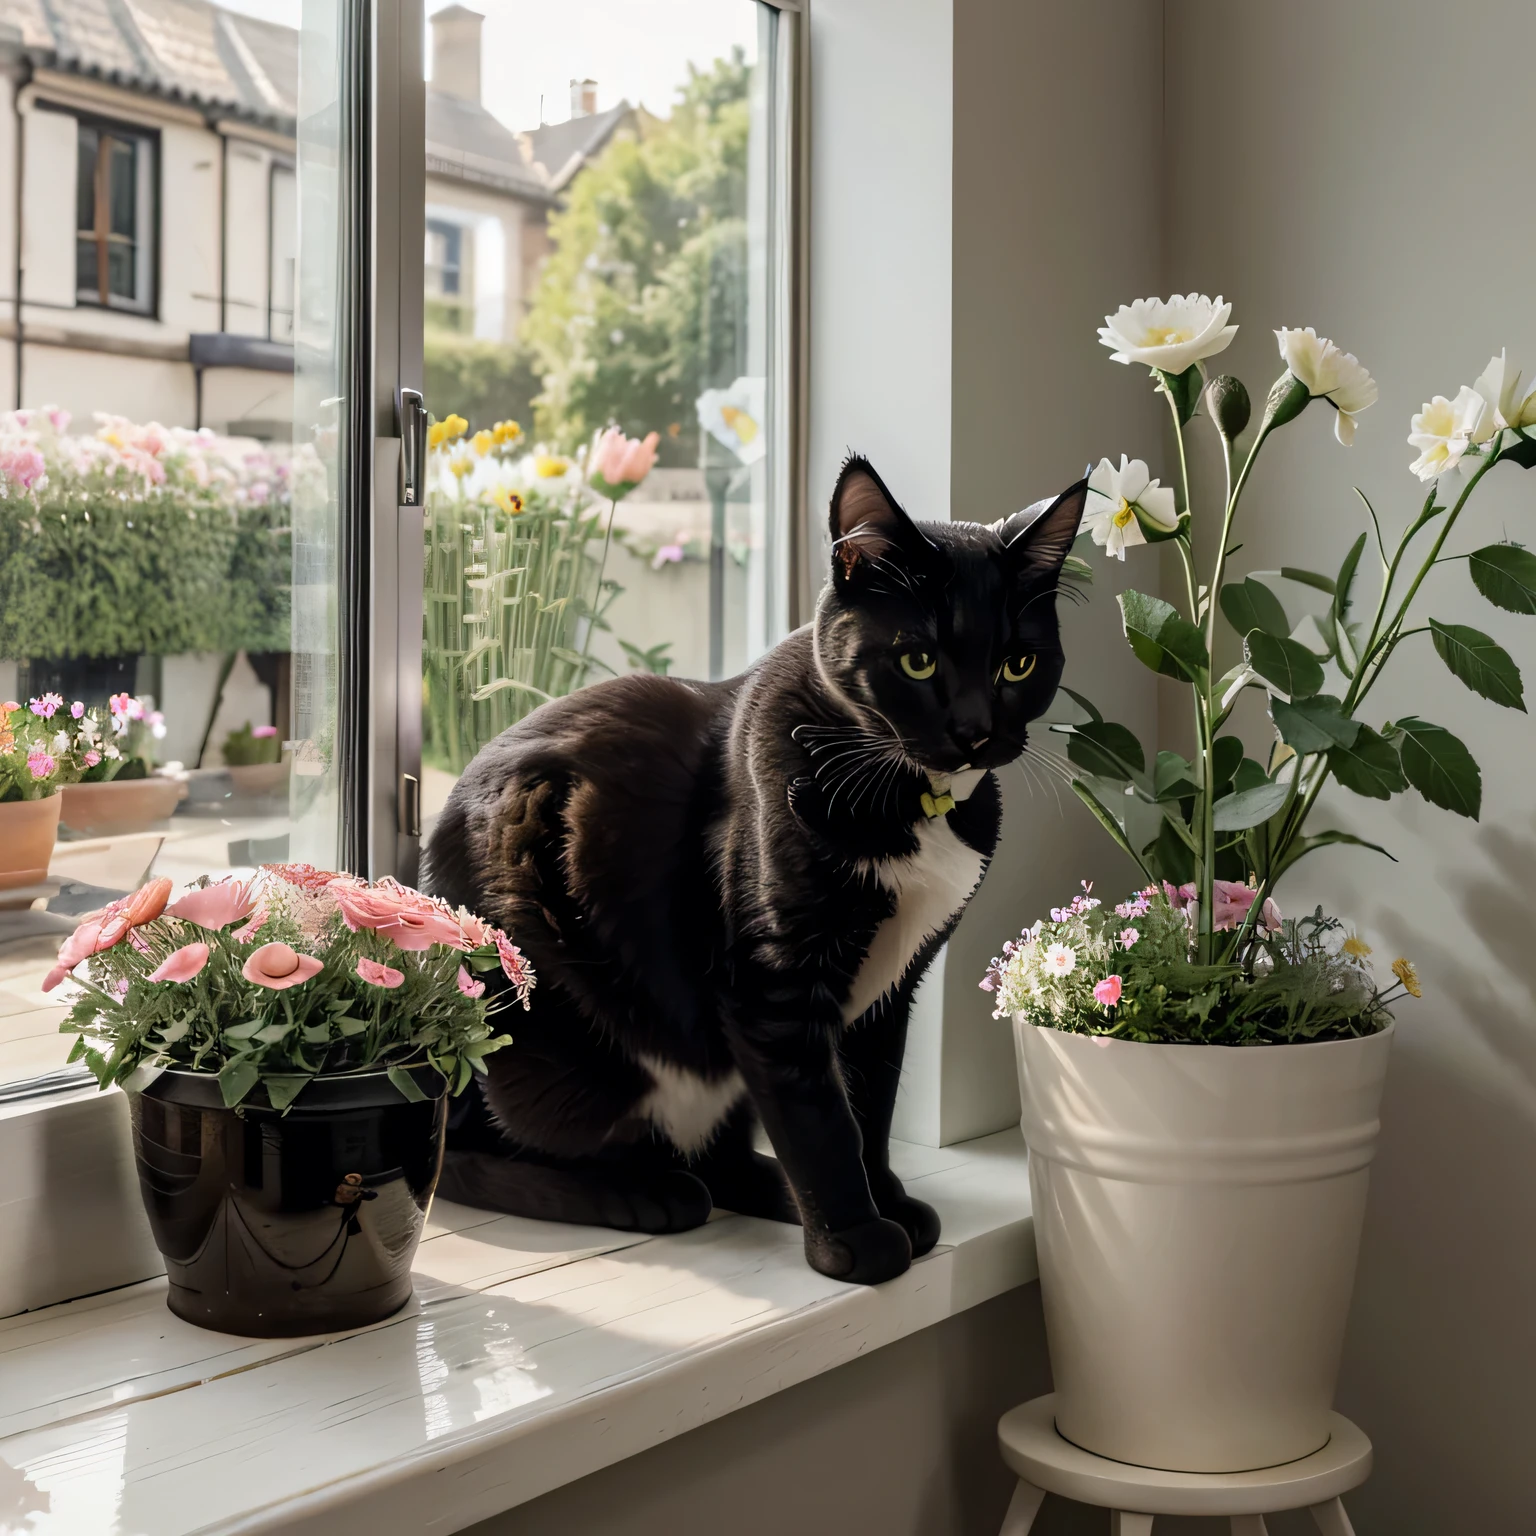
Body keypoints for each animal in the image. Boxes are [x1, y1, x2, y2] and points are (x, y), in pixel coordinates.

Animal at [427, 454, 1087, 1284]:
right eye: (918, 659)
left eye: (1016, 664)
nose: (974, 732)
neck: (911, 794)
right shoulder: (773, 981)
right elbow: (819, 1116)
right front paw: (855, 1240)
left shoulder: (892, 987)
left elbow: (869, 1103)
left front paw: (886, 1202)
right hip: (544, 1023)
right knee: (474, 1153)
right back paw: (639, 1192)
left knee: (720, 1153)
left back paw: (762, 1187)